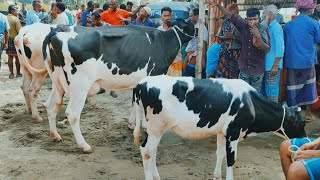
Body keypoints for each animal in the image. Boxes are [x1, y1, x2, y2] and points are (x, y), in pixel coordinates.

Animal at [34, 19, 195, 152]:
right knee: (72, 114)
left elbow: (135, 103)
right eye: (192, 25)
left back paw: (55, 135)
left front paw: (133, 124)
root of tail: (60, 29)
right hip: (80, 84)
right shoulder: (154, 77)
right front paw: (144, 126)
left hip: (58, 79)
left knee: (51, 105)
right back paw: (84, 146)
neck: (164, 42)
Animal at [132, 75, 304, 180]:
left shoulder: (223, 132)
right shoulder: (234, 131)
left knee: (152, 150)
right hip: (156, 127)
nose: (305, 139)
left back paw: (157, 176)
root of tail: (142, 83)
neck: (249, 102)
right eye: (301, 123)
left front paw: (216, 176)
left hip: (155, 129)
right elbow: (231, 158)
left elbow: (220, 153)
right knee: (146, 151)